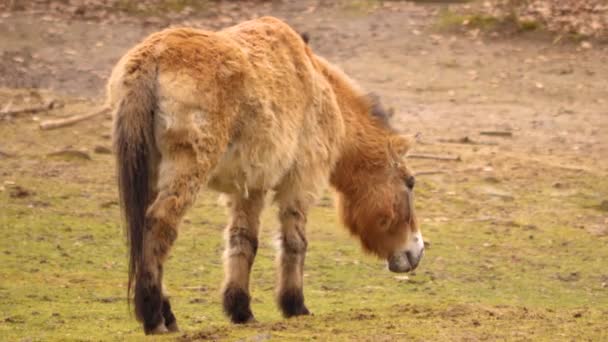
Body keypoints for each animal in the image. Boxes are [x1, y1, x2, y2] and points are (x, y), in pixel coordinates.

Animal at [109, 16, 422, 334]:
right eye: (410, 183)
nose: (416, 251)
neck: (320, 88)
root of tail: (152, 57)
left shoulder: (249, 187)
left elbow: (242, 241)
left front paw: (240, 310)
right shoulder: (300, 182)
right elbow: (295, 242)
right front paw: (295, 306)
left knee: (144, 232)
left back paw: (166, 314)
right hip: (187, 172)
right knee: (159, 225)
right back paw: (154, 318)